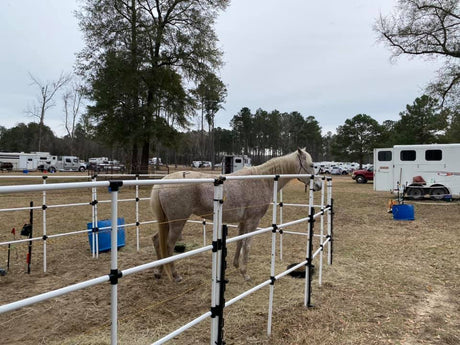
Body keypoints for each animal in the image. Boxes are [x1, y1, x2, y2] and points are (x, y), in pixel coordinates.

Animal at [151, 147, 320, 280]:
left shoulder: (243, 221)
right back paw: (175, 274)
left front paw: (236, 265)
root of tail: (163, 182)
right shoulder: (253, 221)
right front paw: (245, 273)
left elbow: (240, 242)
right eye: (311, 165)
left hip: (166, 222)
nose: (318, 184)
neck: (262, 180)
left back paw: (159, 272)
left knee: (157, 240)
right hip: (177, 222)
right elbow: (247, 244)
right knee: (169, 244)